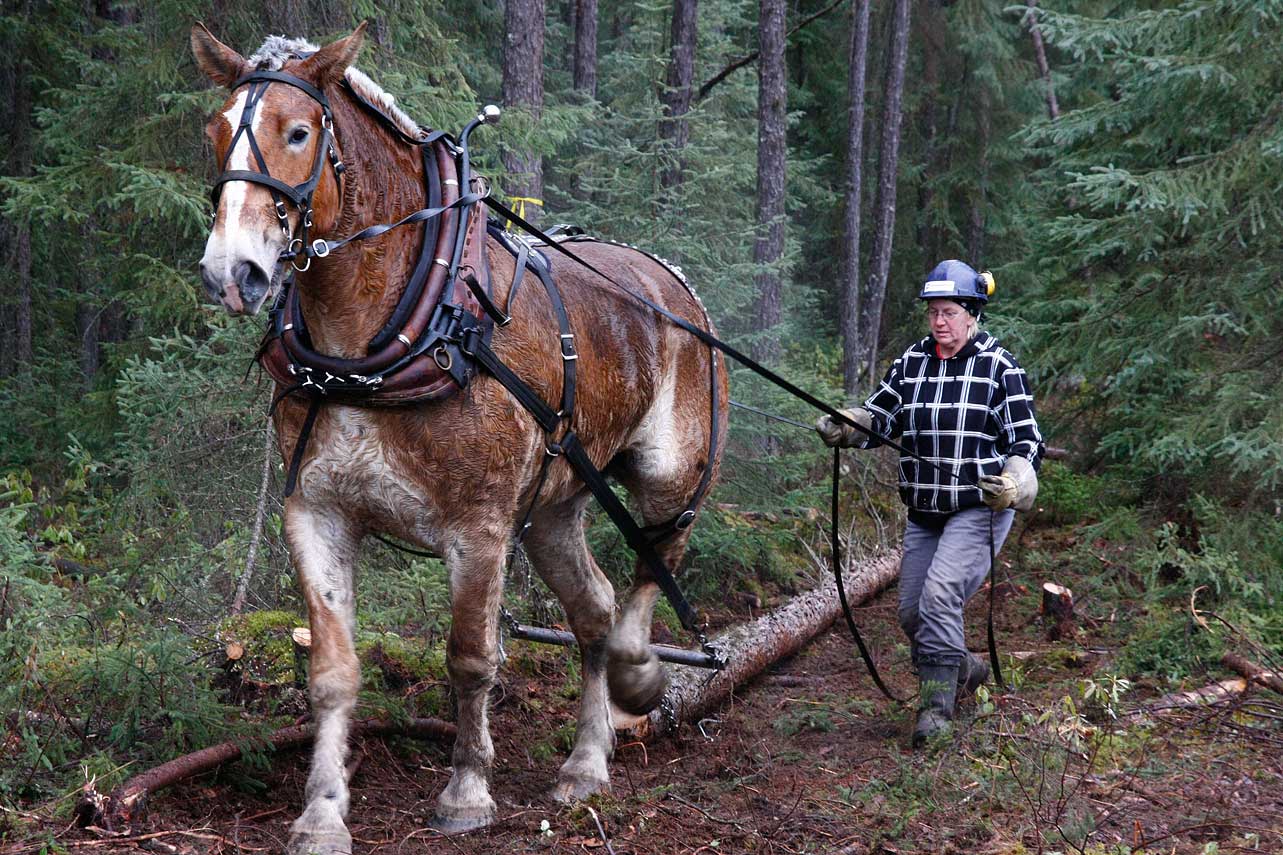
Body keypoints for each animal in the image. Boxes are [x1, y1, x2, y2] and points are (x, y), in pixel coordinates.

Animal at [191, 22, 728, 854]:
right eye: (216, 133)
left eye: (298, 132)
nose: (230, 272)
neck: (377, 343)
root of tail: (671, 278)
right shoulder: (316, 512)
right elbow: (332, 672)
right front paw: (321, 810)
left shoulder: (477, 526)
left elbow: (472, 657)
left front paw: (467, 788)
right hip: (552, 508)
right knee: (593, 608)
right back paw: (584, 762)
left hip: (670, 472)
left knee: (653, 562)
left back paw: (636, 675)